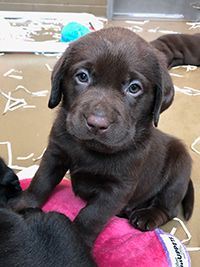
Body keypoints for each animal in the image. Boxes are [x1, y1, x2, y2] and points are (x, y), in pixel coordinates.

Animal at [10, 27, 195, 249]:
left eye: (134, 88)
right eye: (82, 76)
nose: (97, 123)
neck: (89, 149)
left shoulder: (117, 188)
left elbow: (91, 216)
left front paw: (77, 241)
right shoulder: (54, 155)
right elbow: (41, 182)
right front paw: (21, 204)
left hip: (179, 167)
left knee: (168, 207)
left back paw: (147, 215)